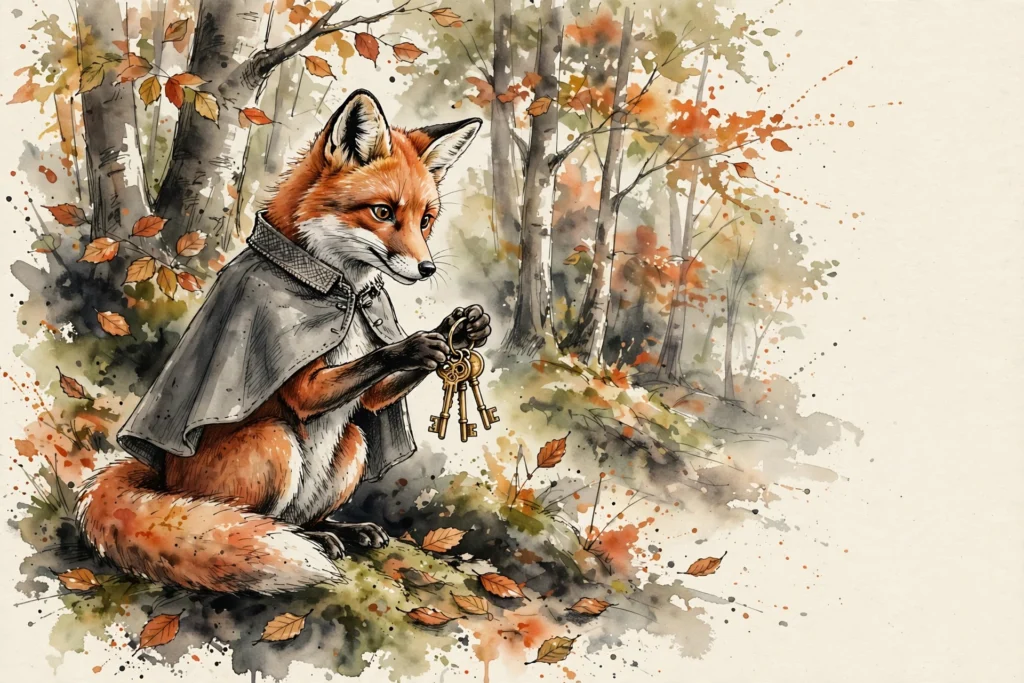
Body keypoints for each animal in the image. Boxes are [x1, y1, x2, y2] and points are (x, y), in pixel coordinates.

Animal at [75, 90, 490, 594]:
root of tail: (164, 479)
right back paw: (310, 540)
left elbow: (373, 395)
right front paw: (414, 345)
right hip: (274, 441)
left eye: (425, 220)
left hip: (353, 444)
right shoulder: (297, 375)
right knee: (265, 522)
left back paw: (339, 530)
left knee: (303, 515)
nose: (426, 269)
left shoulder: (367, 397)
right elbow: (365, 363)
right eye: (383, 212)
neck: (343, 294)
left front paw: (465, 328)